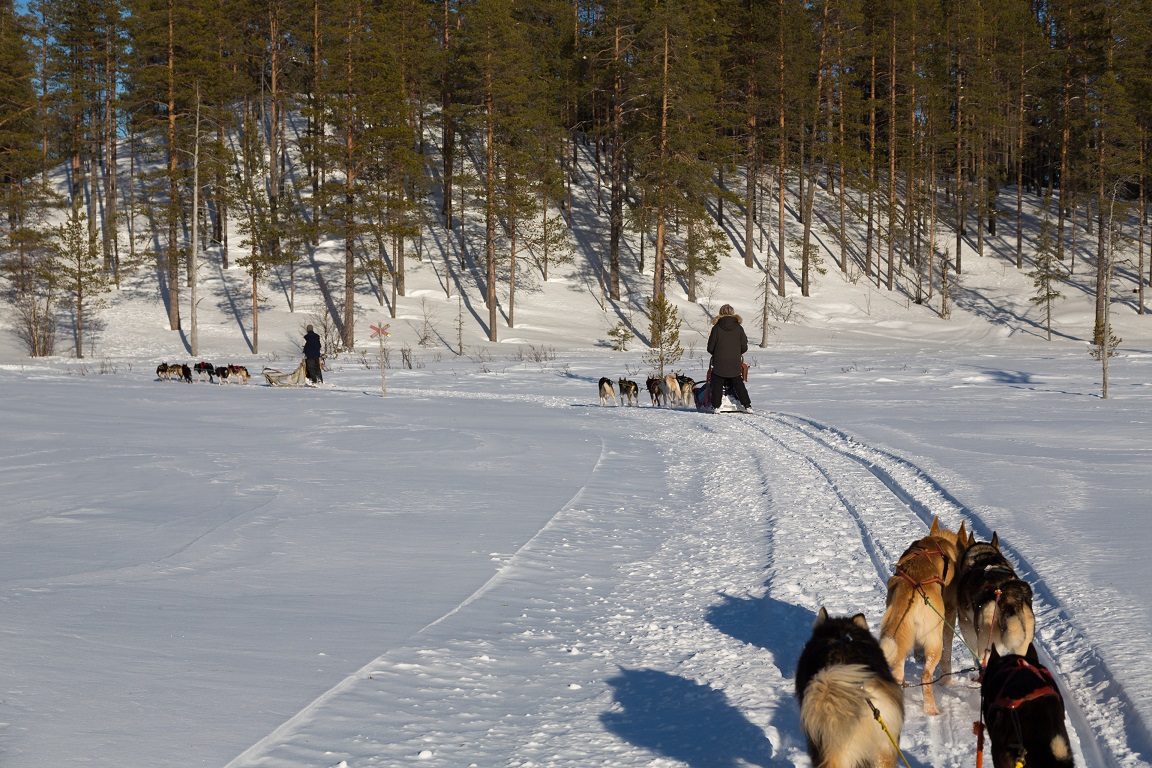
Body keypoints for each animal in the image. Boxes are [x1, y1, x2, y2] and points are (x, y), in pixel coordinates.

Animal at [880, 520, 963, 718]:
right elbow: (947, 654)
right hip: (934, 642)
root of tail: (913, 589)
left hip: (900, 637)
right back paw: (931, 710)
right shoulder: (950, 613)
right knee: (926, 675)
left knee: (899, 671)